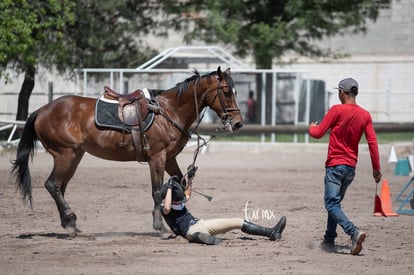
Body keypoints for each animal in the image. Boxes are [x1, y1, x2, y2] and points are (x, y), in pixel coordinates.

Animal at [11, 66, 243, 237]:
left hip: (74, 156)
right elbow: (157, 191)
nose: (238, 123)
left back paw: (71, 224)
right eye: (226, 92)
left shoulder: (170, 159)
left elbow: (179, 184)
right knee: (52, 184)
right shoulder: (157, 158)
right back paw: (70, 221)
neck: (169, 112)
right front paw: (160, 227)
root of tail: (42, 110)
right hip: (65, 154)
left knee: (59, 187)